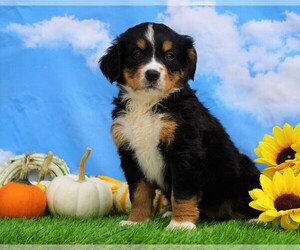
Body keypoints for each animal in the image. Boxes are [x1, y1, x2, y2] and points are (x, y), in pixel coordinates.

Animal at [99, 22, 260, 229]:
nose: (152, 74)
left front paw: (181, 224)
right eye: (136, 54)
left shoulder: (185, 151)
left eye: (170, 56)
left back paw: (257, 219)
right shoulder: (130, 154)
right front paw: (136, 221)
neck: (147, 104)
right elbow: (139, 193)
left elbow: (182, 193)